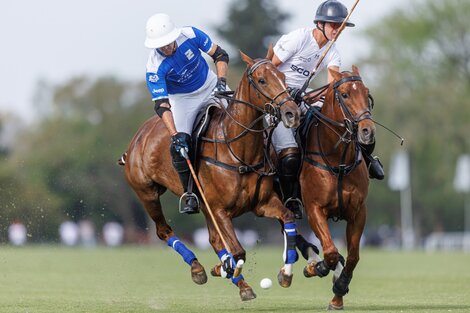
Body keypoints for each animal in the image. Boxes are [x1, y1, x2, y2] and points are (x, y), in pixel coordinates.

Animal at [122, 48, 302, 300]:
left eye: (284, 77)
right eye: (262, 80)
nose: (291, 113)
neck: (238, 150)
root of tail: (138, 137)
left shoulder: (262, 203)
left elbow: (287, 218)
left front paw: (285, 273)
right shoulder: (219, 209)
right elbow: (238, 251)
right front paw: (224, 269)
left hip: (203, 207)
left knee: (215, 240)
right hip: (147, 193)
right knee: (163, 230)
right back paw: (198, 268)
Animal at [298, 66, 374, 310]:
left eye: (367, 93)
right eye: (346, 95)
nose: (368, 131)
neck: (337, 160)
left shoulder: (358, 212)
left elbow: (353, 256)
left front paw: (339, 292)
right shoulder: (314, 209)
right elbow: (330, 252)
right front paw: (319, 267)